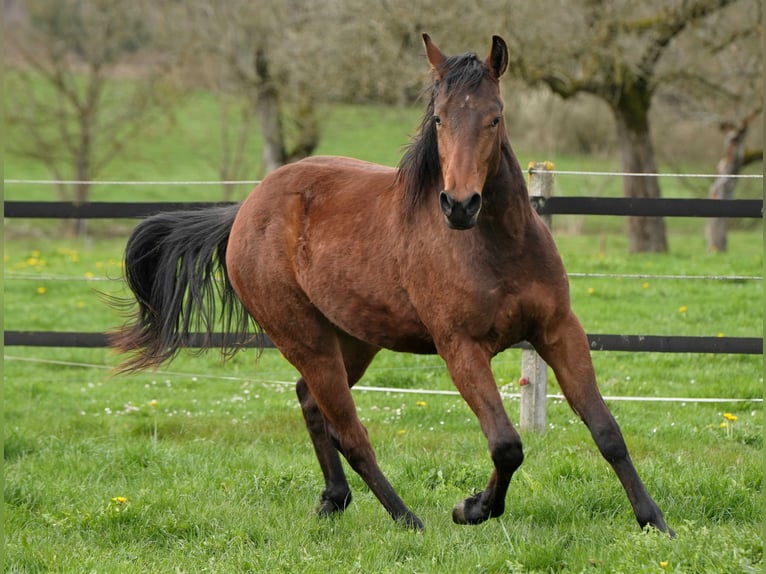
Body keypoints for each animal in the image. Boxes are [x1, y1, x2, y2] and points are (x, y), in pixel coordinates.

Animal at [112, 32, 672, 536]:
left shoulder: (557, 331)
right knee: (350, 431)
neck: (499, 246)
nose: (459, 204)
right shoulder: (461, 349)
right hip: (305, 339)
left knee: (312, 404)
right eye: (439, 118)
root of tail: (246, 209)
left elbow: (607, 431)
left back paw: (334, 500)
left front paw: (654, 521)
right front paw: (471, 508)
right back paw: (408, 519)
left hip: (353, 340)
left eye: (494, 117)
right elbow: (506, 444)